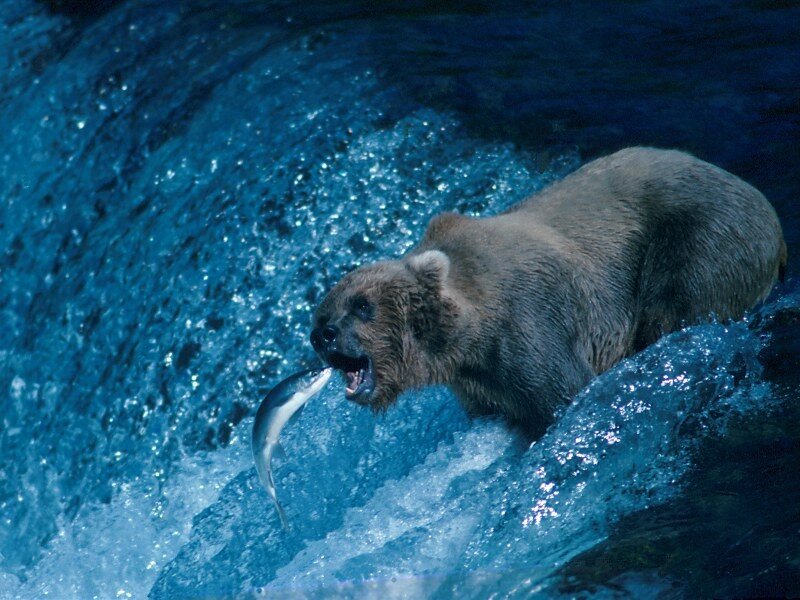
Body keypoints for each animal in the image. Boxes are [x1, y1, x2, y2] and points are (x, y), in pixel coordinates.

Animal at [310, 147, 786, 436]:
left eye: (362, 306)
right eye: (323, 311)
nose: (323, 336)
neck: (466, 339)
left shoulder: (530, 329)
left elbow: (563, 394)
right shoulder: (479, 385)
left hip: (701, 238)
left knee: (677, 309)